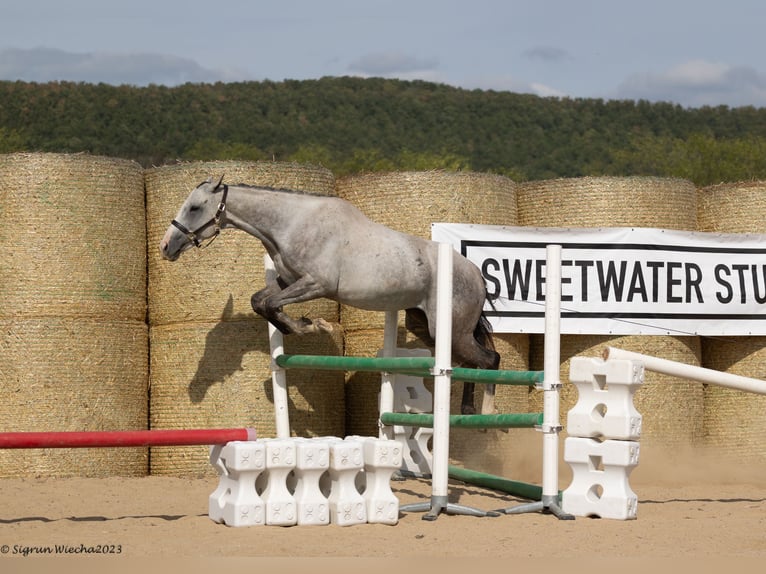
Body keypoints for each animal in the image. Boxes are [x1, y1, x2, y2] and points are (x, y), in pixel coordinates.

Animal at [159, 176, 500, 414]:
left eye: (194, 207)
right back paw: (468, 410)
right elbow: (260, 302)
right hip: (426, 327)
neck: (290, 225)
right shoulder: (287, 280)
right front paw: (301, 326)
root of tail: (475, 273)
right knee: (467, 362)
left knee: (489, 359)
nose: (165, 247)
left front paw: (313, 326)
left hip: (451, 330)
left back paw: (484, 413)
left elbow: (271, 304)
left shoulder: (315, 284)